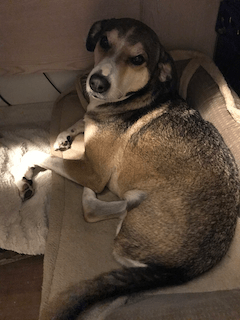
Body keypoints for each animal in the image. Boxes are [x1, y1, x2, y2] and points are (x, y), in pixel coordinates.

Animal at [14, 18, 239, 318]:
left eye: (138, 59)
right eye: (104, 42)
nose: (96, 82)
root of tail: (183, 270)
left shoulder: (92, 171)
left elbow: (44, 155)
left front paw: (27, 170)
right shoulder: (92, 118)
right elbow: (81, 120)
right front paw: (64, 135)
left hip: (136, 217)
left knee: (97, 218)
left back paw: (87, 195)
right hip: (135, 200)